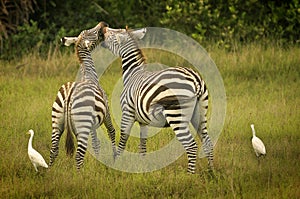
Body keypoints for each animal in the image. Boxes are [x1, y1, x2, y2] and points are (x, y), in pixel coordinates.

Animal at [49, 21, 116, 169]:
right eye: (92, 32)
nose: (103, 23)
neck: (88, 75)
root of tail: (69, 95)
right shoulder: (107, 113)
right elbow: (112, 132)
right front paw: (116, 158)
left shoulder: (93, 124)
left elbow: (96, 143)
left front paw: (98, 161)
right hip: (82, 125)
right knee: (79, 155)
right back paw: (80, 174)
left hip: (57, 122)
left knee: (53, 150)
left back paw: (47, 171)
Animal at [100, 26, 213, 173]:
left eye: (112, 33)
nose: (103, 28)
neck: (133, 75)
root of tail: (195, 79)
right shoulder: (143, 121)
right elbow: (143, 145)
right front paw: (142, 167)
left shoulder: (127, 112)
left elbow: (123, 141)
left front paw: (116, 164)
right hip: (200, 113)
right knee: (207, 141)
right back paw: (212, 172)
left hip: (176, 115)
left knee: (191, 146)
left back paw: (190, 175)